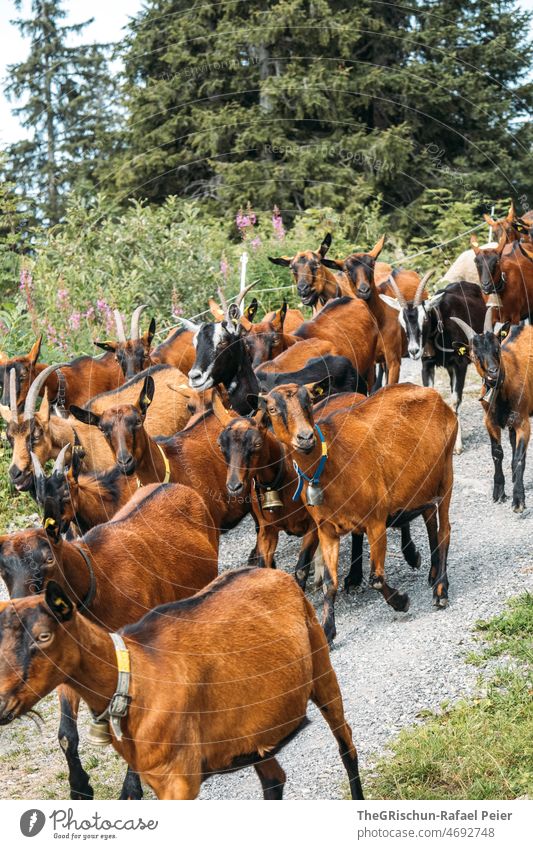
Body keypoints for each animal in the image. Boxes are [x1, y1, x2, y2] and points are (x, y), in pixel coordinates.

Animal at [0, 480, 218, 800]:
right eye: (3, 570)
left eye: (49, 558)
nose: (20, 610)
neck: (97, 580)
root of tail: (171, 483)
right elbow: (66, 735)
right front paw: (79, 787)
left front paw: (130, 791)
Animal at [0, 568, 364, 800]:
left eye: (44, 636)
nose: (2, 704)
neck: (132, 675)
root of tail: (274, 572)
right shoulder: (156, 776)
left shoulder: (179, 778)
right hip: (253, 732)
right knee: (274, 780)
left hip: (322, 668)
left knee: (346, 745)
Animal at [260, 380, 456, 640]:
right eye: (272, 409)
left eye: (309, 401)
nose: (305, 437)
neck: (330, 463)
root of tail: (435, 395)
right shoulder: (326, 529)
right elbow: (329, 584)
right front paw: (328, 629)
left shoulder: (376, 521)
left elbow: (376, 578)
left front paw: (401, 601)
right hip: (423, 483)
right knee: (430, 521)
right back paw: (432, 574)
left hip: (446, 474)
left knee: (444, 530)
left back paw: (441, 590)